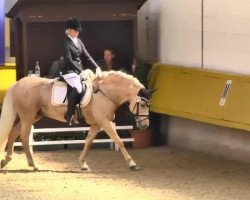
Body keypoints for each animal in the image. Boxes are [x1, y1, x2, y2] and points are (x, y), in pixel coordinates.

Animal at [0, 70, 153, 170]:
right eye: (142, 104)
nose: (145, 125)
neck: (105, 93)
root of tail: (18, 83)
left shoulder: (97, 123)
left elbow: (88, 142)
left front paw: (83, 164)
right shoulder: (105, 122)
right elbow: (119, 140)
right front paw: (132, 164)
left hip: (32, 116)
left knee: (13, 133)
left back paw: (6, 160)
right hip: (28, 116)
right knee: (24, 137)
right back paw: (33, 165)